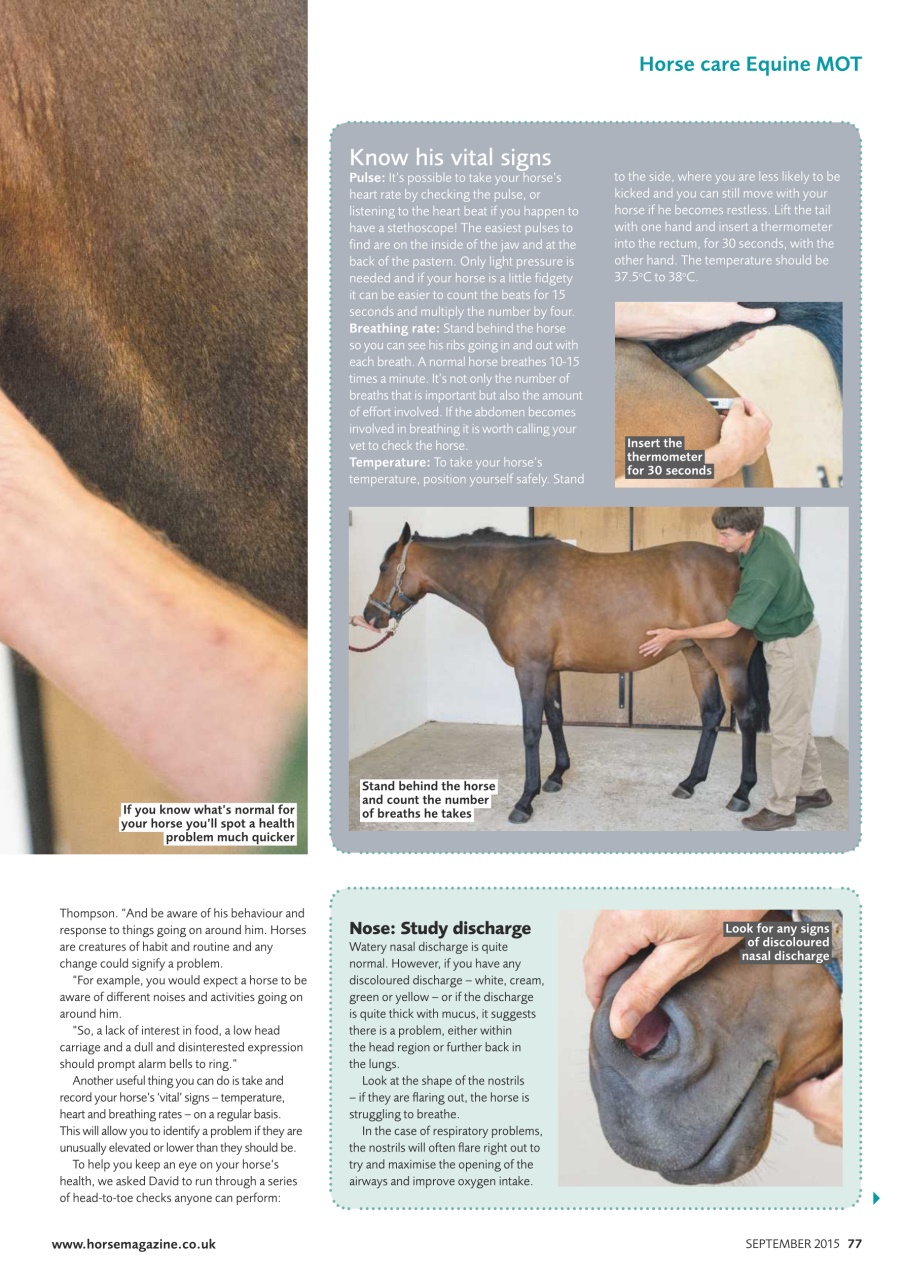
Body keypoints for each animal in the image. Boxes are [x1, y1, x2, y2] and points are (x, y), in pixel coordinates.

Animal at [360, 524, 770, 825]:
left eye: (384, 568)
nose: (370, 616)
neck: (508, 578)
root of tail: (739, 567)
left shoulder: (529, 668)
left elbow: (531, 730)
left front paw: (525, 800)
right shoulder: (550, 670)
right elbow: (555, 718)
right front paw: (556, 776)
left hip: (728, 661)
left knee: (746, 716)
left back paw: (741, 794)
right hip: (697, 656)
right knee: (712, 713)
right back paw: (690, 782)